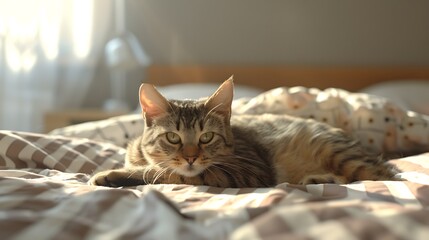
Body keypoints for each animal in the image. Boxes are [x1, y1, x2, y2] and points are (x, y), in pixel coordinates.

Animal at [90, 77, 402, 188]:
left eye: (206, 137)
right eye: (173, 137)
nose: (191, 157)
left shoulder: (246, 171)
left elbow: (166, 173)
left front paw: (112, 175)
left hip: (335, 150)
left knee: (384, 175)